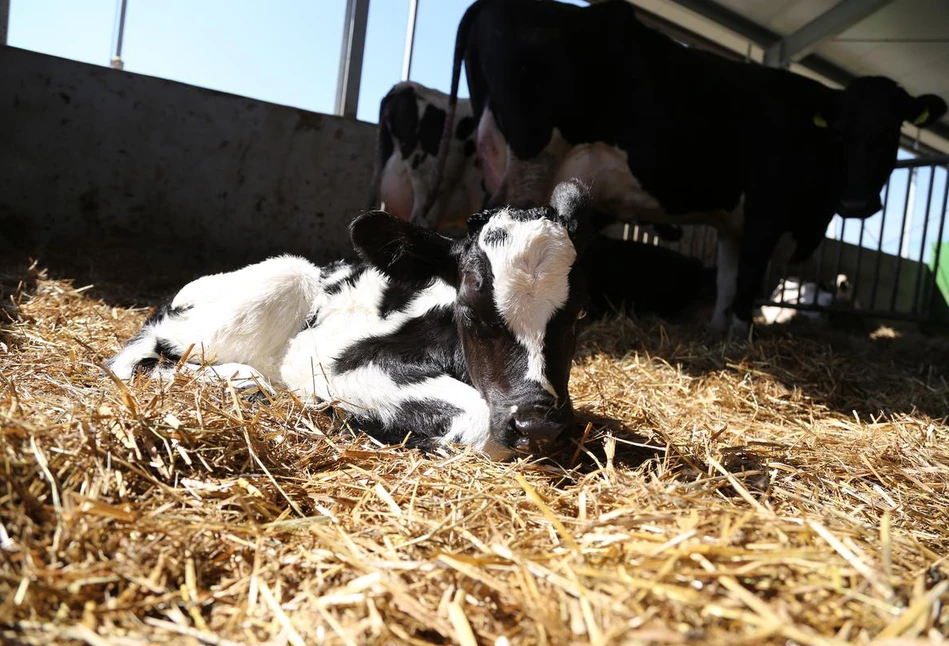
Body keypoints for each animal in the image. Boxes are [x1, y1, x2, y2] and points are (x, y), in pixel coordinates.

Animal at [105, 181, 592, 460]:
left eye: (579, 315)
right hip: (277, 280)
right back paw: (245, 382)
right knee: (142, 363)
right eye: (470, 309)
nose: (537, 424)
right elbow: (477, 422)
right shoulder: (332, 360)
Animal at [434, 1, 944, 340]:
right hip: (532, 157)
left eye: (893, 130)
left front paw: (718, 329)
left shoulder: (735, 223)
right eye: (841, 130)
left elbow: (729, 276)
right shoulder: (766, 210)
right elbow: (749, 279)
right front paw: (740, 336)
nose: (858, 203)